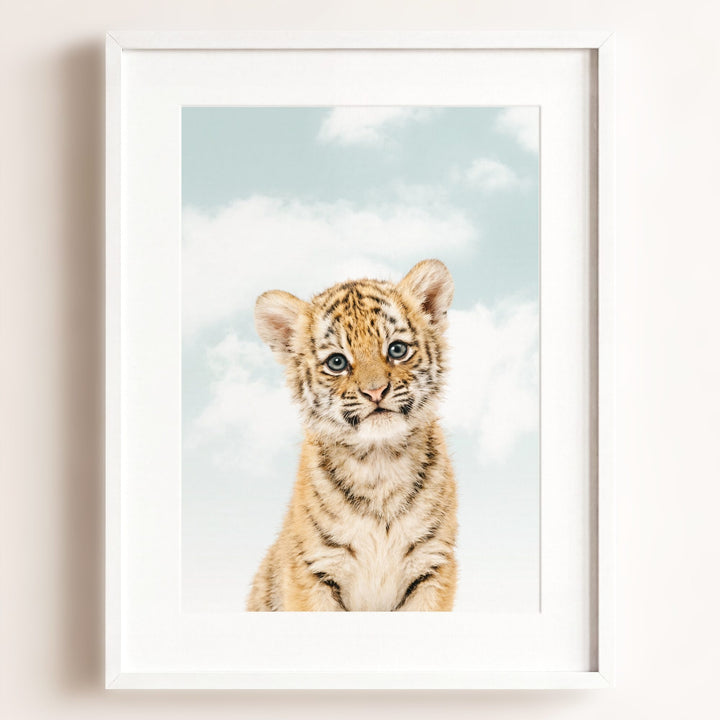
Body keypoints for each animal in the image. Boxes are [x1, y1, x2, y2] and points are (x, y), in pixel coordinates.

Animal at [246, 259, 457, 611]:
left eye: (397, 349)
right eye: (337, 362)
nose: (375, 391)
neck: (379, 461)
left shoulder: (433, 565)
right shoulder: (313, 569)